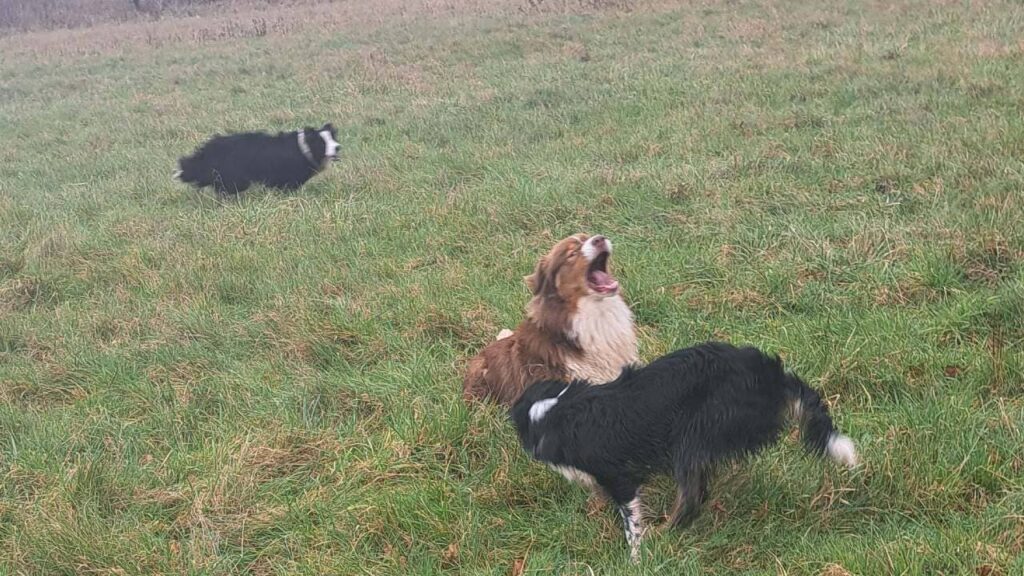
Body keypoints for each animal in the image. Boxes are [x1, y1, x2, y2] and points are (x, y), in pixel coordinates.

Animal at [174, 123, 337, 194]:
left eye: (333, 138)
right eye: (322, 143)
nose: (337, 147)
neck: (303, 148)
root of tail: (209, 150)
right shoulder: (286, 179)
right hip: (236, 179)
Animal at [509, 340, 856, 561]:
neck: (558, 411)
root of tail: (770, 373)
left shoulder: (621, 479)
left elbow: (632, 526)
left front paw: (636, 559)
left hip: (694, 433)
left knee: (692, 496)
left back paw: (667, 531)